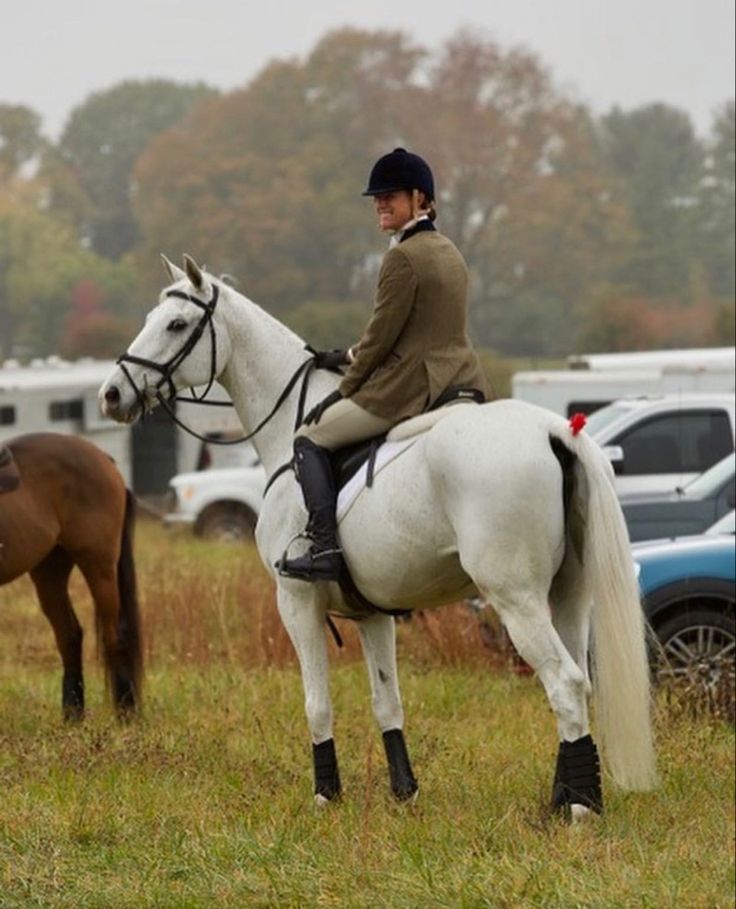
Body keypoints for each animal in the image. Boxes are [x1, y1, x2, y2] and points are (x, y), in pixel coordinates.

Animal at [0, 432, 142, 716]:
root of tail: (104, 458)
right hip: (49, 570)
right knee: (69, 636)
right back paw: (73, 716)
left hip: (99, 566)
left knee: (115, 637)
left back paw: (126, 714)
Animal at [98, 254, 656, 816]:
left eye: (176, 324)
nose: (111, 394)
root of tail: (555, 431)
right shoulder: (372, 611)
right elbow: (387, 701)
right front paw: (404, 792)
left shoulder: (295, 600)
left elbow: (316, 703)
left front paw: (326, 795)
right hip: (569, 592)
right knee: (579, 681)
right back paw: (563, 798)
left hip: (515, 597)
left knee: (564, 683)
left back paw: (580, 808)